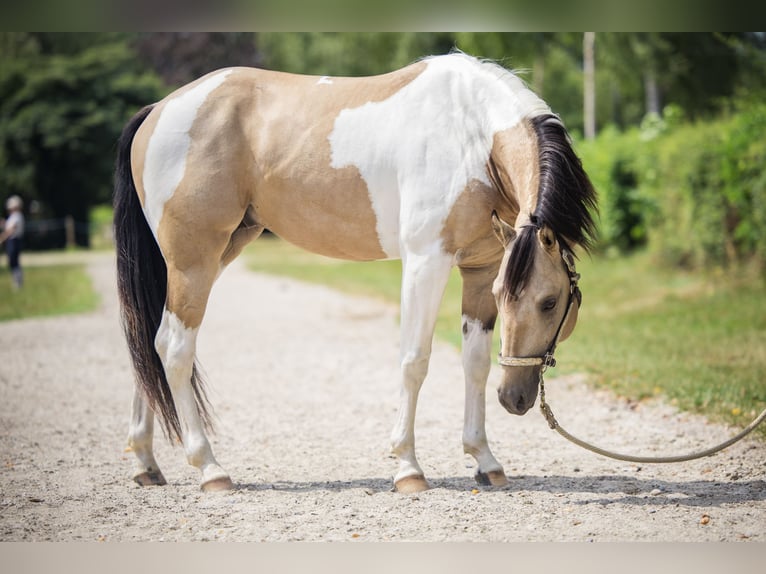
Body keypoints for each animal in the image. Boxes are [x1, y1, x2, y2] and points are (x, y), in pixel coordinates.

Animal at [113, 52, 597, 494]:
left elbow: (473, 363)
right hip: (193, 261)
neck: (473, 134)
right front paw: (408, 467)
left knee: (150, 342)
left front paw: (485, 460)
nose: (514, 398)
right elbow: (414, 361)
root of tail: (157, 109)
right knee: (174, 348)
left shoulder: (481, 269)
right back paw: (211, 469)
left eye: (548, 301)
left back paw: (146, 463)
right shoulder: (426, 260)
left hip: (216, 252)